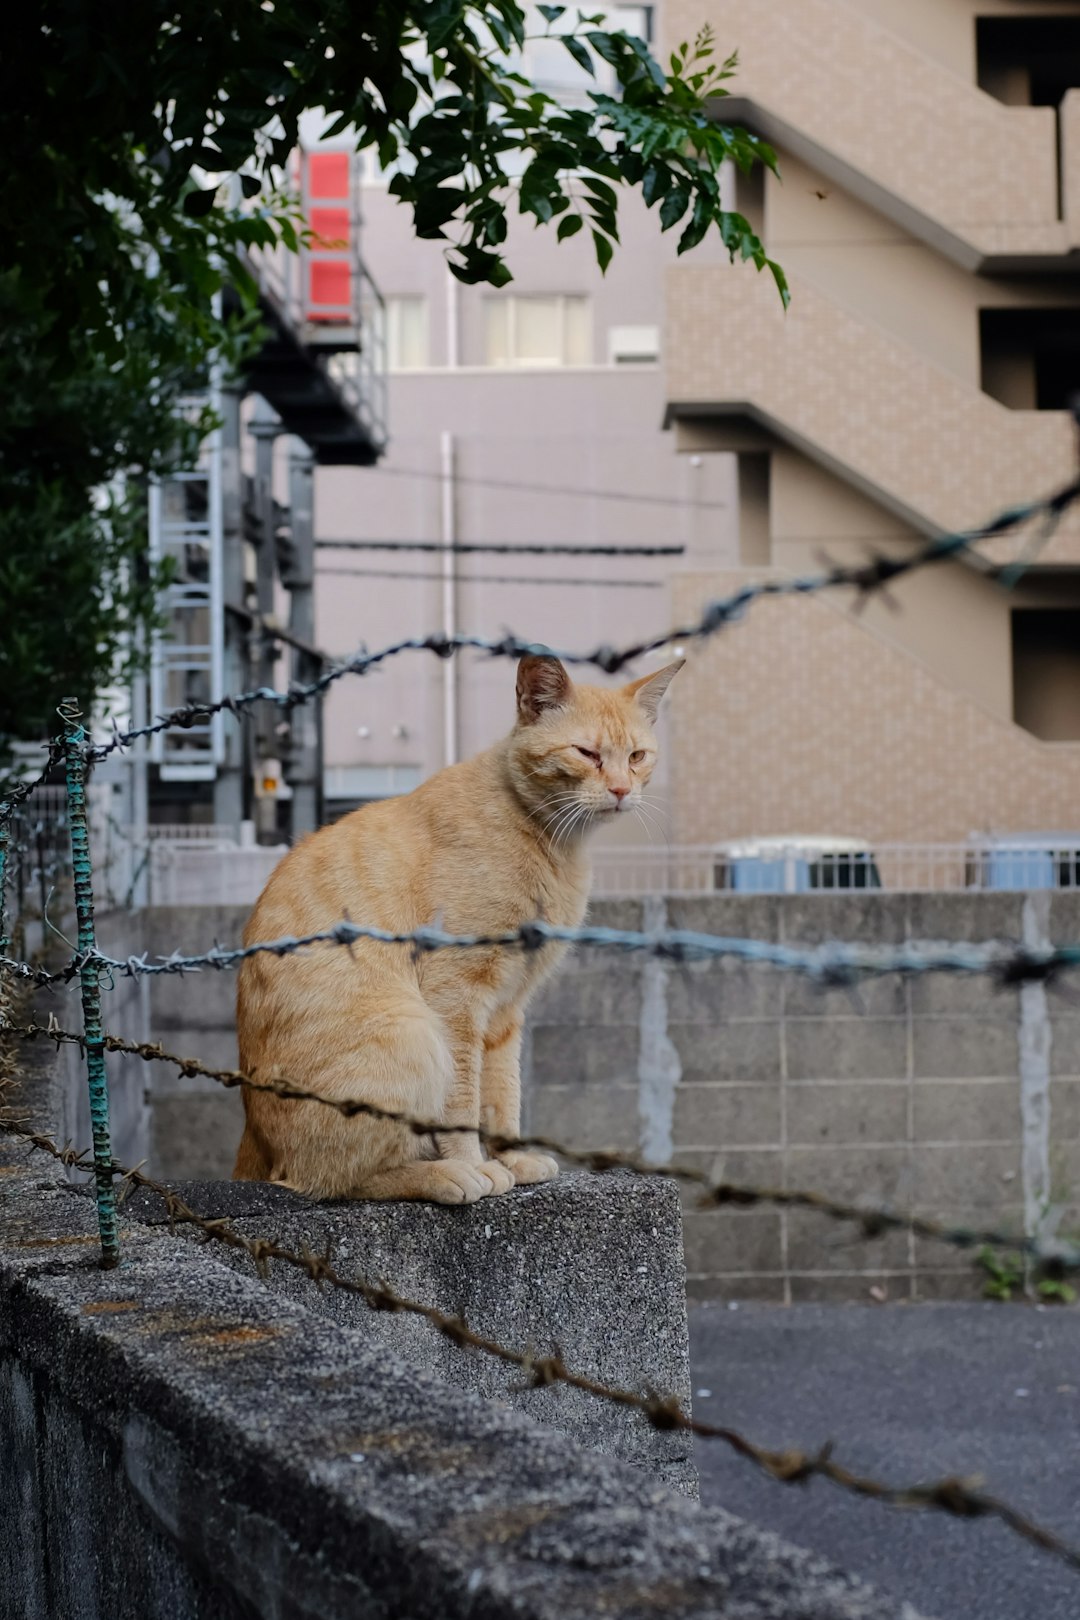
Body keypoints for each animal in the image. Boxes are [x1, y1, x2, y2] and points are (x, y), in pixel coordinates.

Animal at [234, 648, 683, 1205]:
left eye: (637, 756)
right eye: (587, 753)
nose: (622, 790)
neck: (549, 843)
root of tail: (254, 1139)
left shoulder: (508, 1007)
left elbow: (502, 1091)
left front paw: (512, 1159)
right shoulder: (458, 996)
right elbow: (463, 1101)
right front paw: (474, 1163)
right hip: (411, 1035)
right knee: (332, 1179)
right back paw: (442, 1174)